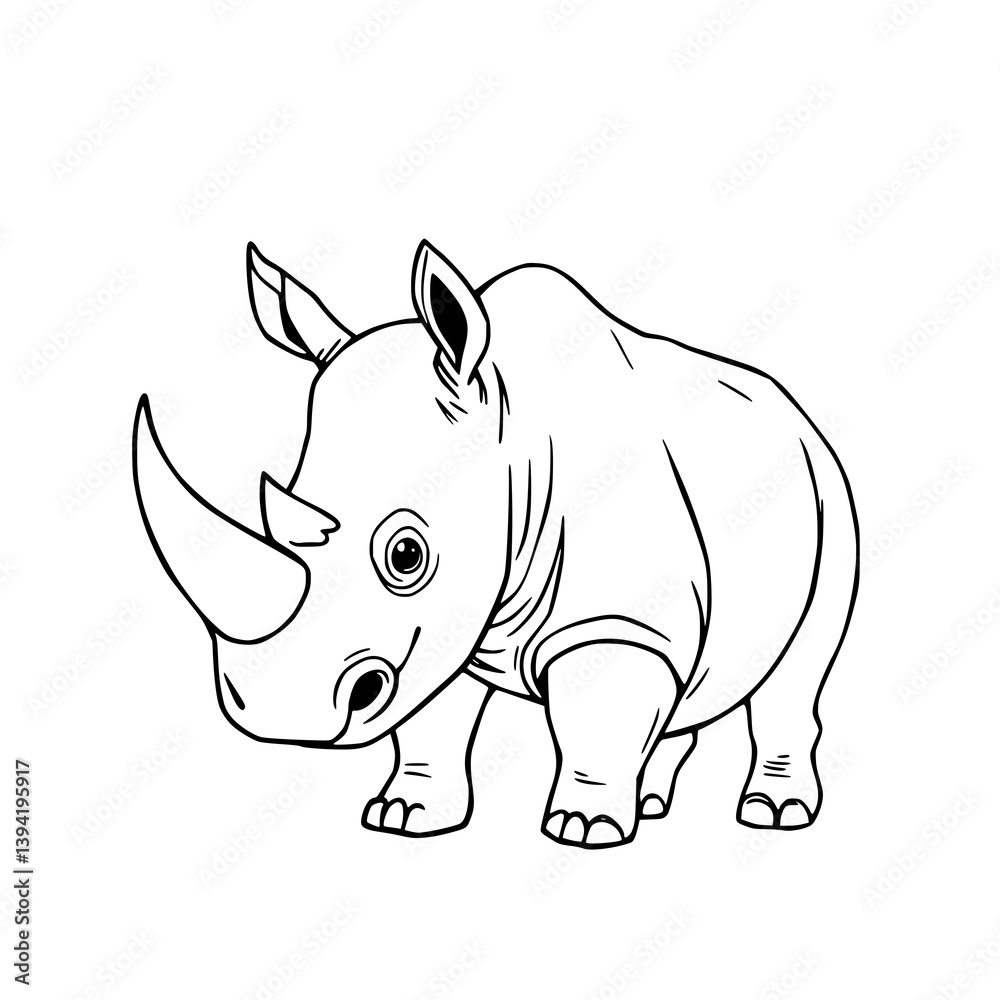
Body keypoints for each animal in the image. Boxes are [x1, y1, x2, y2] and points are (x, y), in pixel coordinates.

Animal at [133, 240, 858, 848]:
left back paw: (774, 814)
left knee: (800, 669)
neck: (515, 434)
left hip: (830, 495)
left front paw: (583, 828)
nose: (285, 720)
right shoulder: (445, 626)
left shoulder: (620, 620)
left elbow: (597, 713)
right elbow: (428, 723)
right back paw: (654, 804)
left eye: (406, 555)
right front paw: (406, 815)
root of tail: (797, 410)